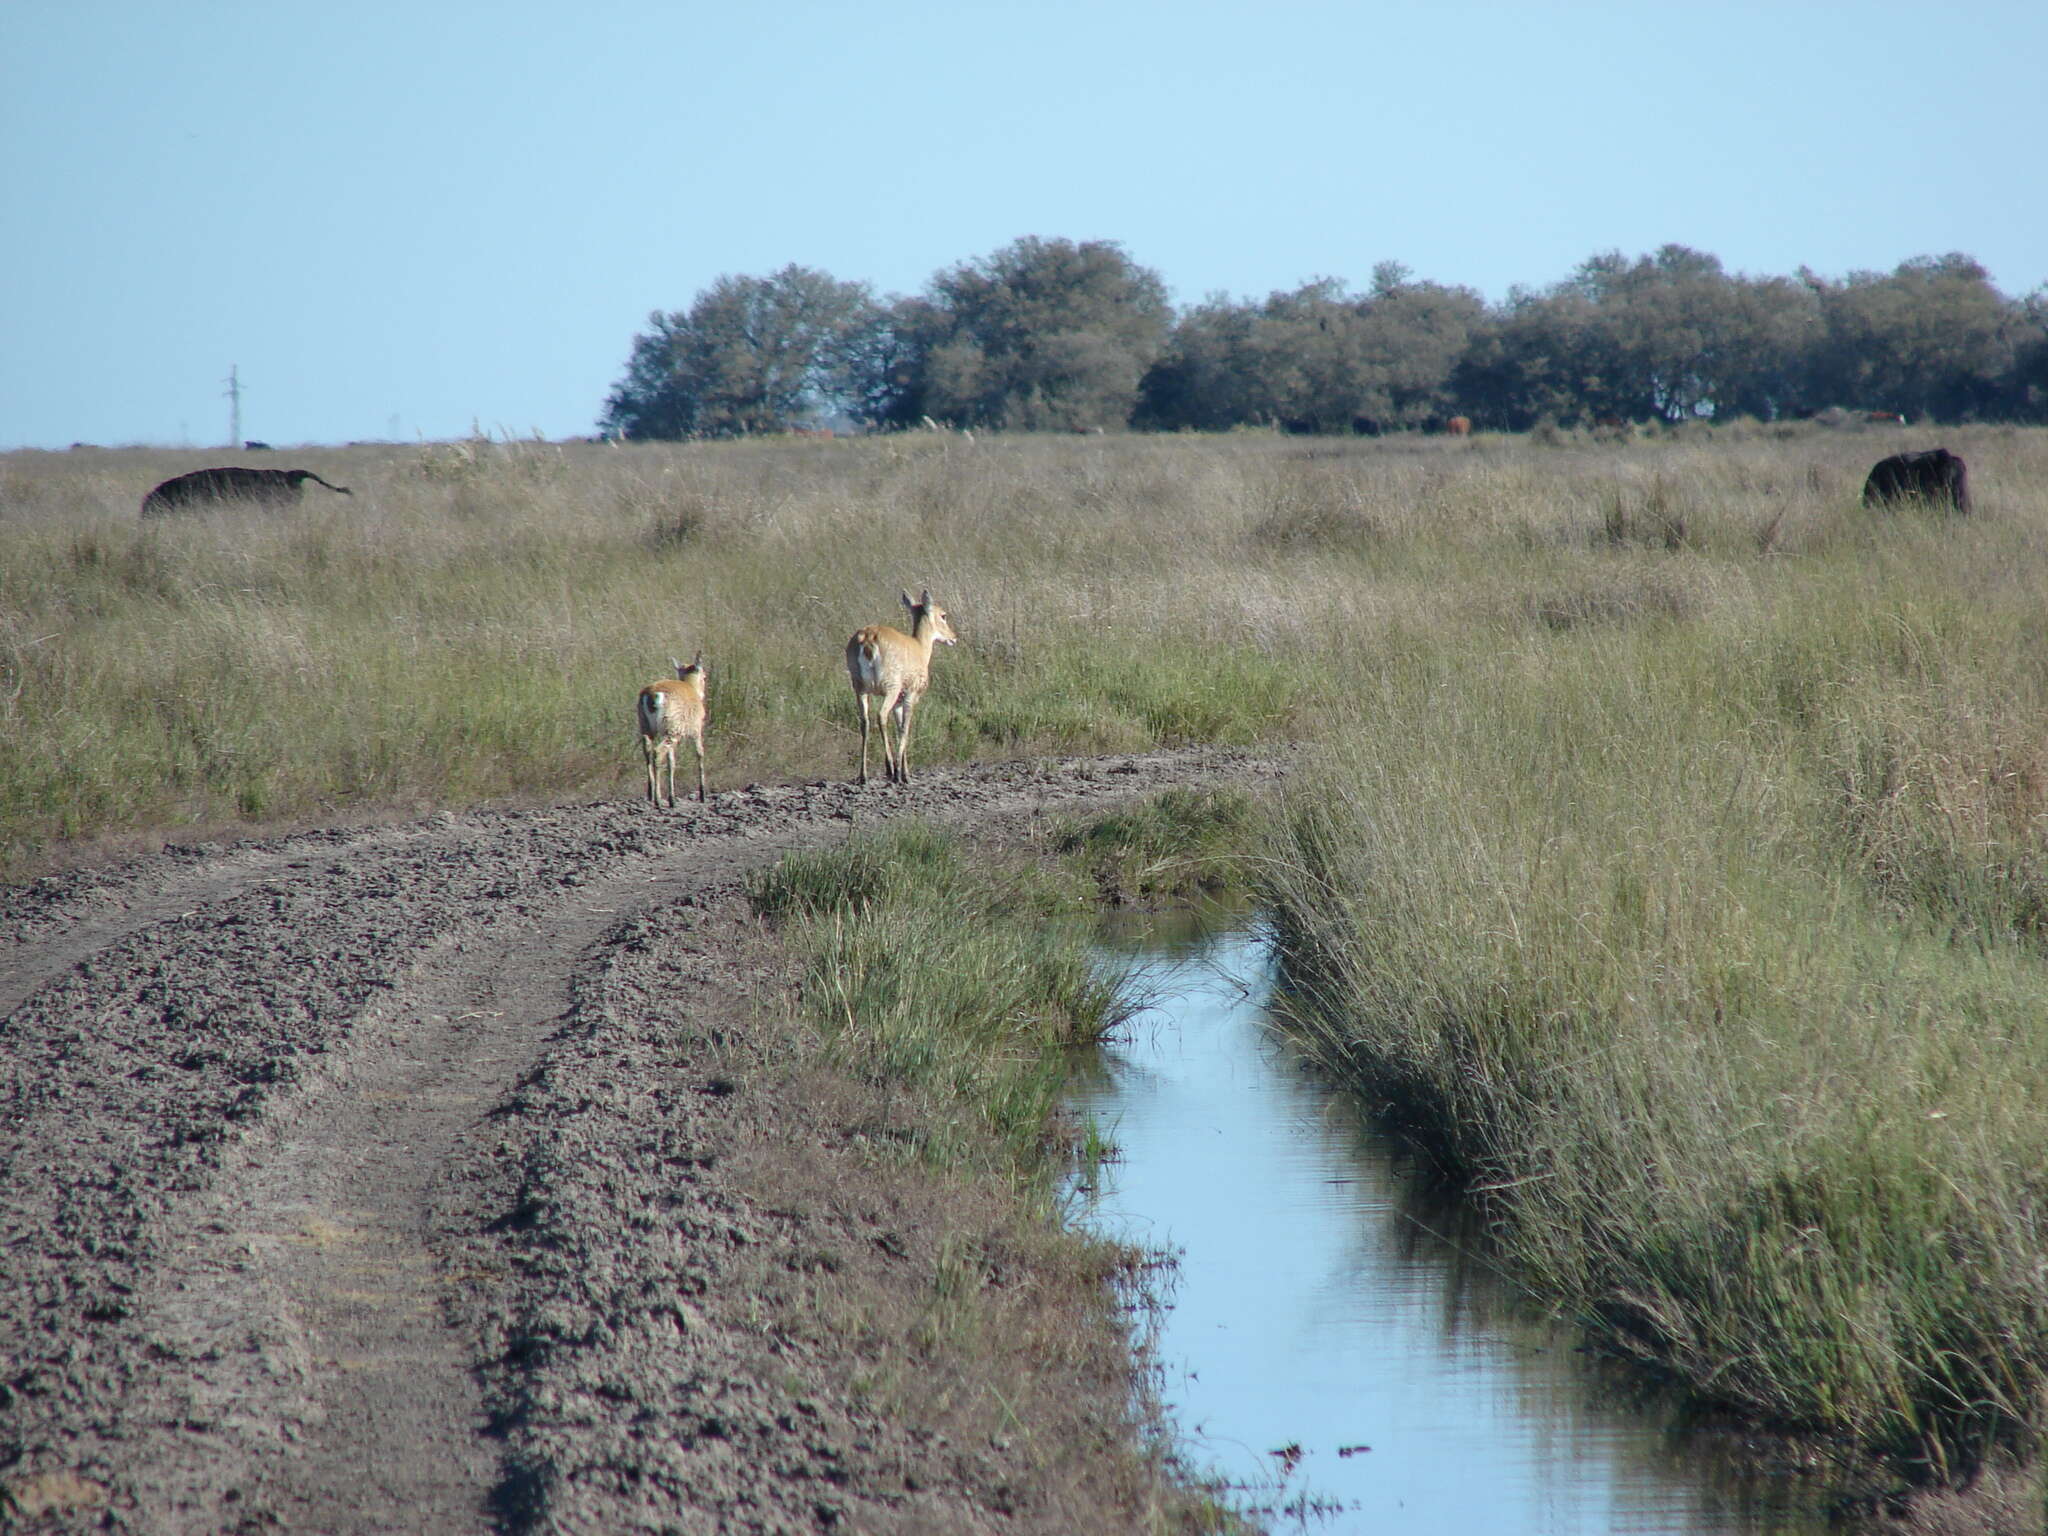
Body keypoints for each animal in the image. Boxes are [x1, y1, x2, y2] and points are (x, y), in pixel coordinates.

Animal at [634, 655, 708, 811]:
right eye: (704, 676)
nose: (703, 694)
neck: (690, 687)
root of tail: (652, 695)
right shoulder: (697, 731)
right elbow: (700, 754)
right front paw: (703, 795)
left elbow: (671, 762)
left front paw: (672, 799)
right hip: (672, 732)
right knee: (657, 752)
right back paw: (657, 800)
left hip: (648, 729)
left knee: (648, 751)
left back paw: (650, 794)